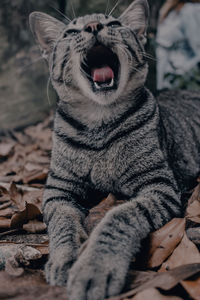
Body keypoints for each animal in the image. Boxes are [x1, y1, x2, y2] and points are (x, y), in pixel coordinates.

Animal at [28, 0, 199, 300]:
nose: (93, 26)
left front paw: (94, 268)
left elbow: (119, 216)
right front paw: (63, 259)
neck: (100, 122)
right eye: (70, 32)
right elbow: (62, 222)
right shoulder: (58, 191)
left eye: (115, 24)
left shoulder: (158, 185)